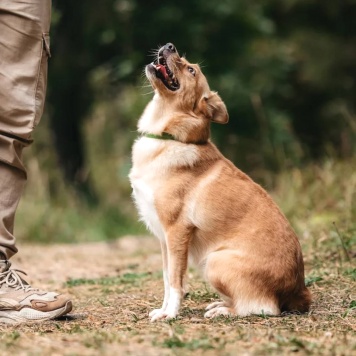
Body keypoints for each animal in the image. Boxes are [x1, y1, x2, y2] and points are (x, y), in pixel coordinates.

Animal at [129, 43, 310, 322]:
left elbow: (176, 282)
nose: (169, 46)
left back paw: (223, 310)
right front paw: (164, 309)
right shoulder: (163, 237)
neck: (171, 137)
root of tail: (299, 293)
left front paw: (170, 314)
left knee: (262, 307)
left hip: (214, 261)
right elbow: (166, 279)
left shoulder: (176, 232)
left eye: (191, 70)